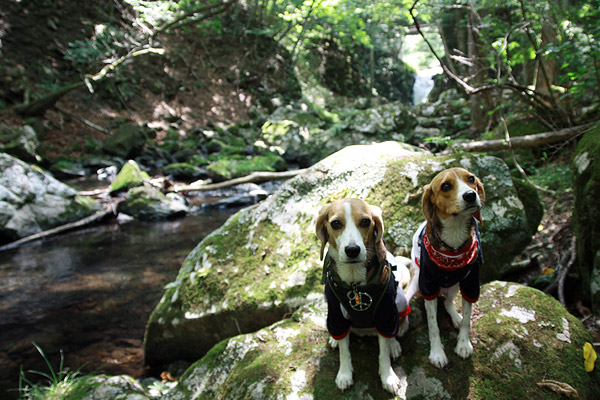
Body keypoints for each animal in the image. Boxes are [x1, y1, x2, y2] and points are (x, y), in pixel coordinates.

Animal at [316, 198, 410, 392]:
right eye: (336, 223)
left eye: (366, 222)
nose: (352, 250)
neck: (355, 284)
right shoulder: (336, 315)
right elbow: (345, 352)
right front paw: (344, 374)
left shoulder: (386, 314)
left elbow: (383, 353)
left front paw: (388, 377)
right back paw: (334, 340)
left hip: (400, 301)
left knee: (397, 326)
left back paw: (395, 343)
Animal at [406, 167, 486, 368]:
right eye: (446, 186)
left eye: (471, 179)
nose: (471, 195)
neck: (454, 233)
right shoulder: (428, 286)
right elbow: (433, 326)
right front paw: (437, 353)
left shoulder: (470, 284)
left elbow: (467, 318)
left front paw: (464, 344)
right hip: (416, 283)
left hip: (455, 285)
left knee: (448, 302)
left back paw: (456, 317)